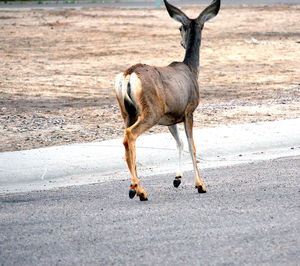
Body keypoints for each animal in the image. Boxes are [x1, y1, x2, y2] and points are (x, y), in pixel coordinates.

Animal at [115, 0, 220, 200]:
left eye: (180, 27)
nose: (181, 42)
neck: (192, 70)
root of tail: (129, 75)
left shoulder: (170, 117)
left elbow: (179, 143)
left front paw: (177, 178)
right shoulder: (189, 110)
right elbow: (192, 146)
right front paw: (200, 185)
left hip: (127, 112)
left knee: (126, 141)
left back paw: (135, 188)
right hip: (151, 111)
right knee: (131, 135)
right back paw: (139, 190)